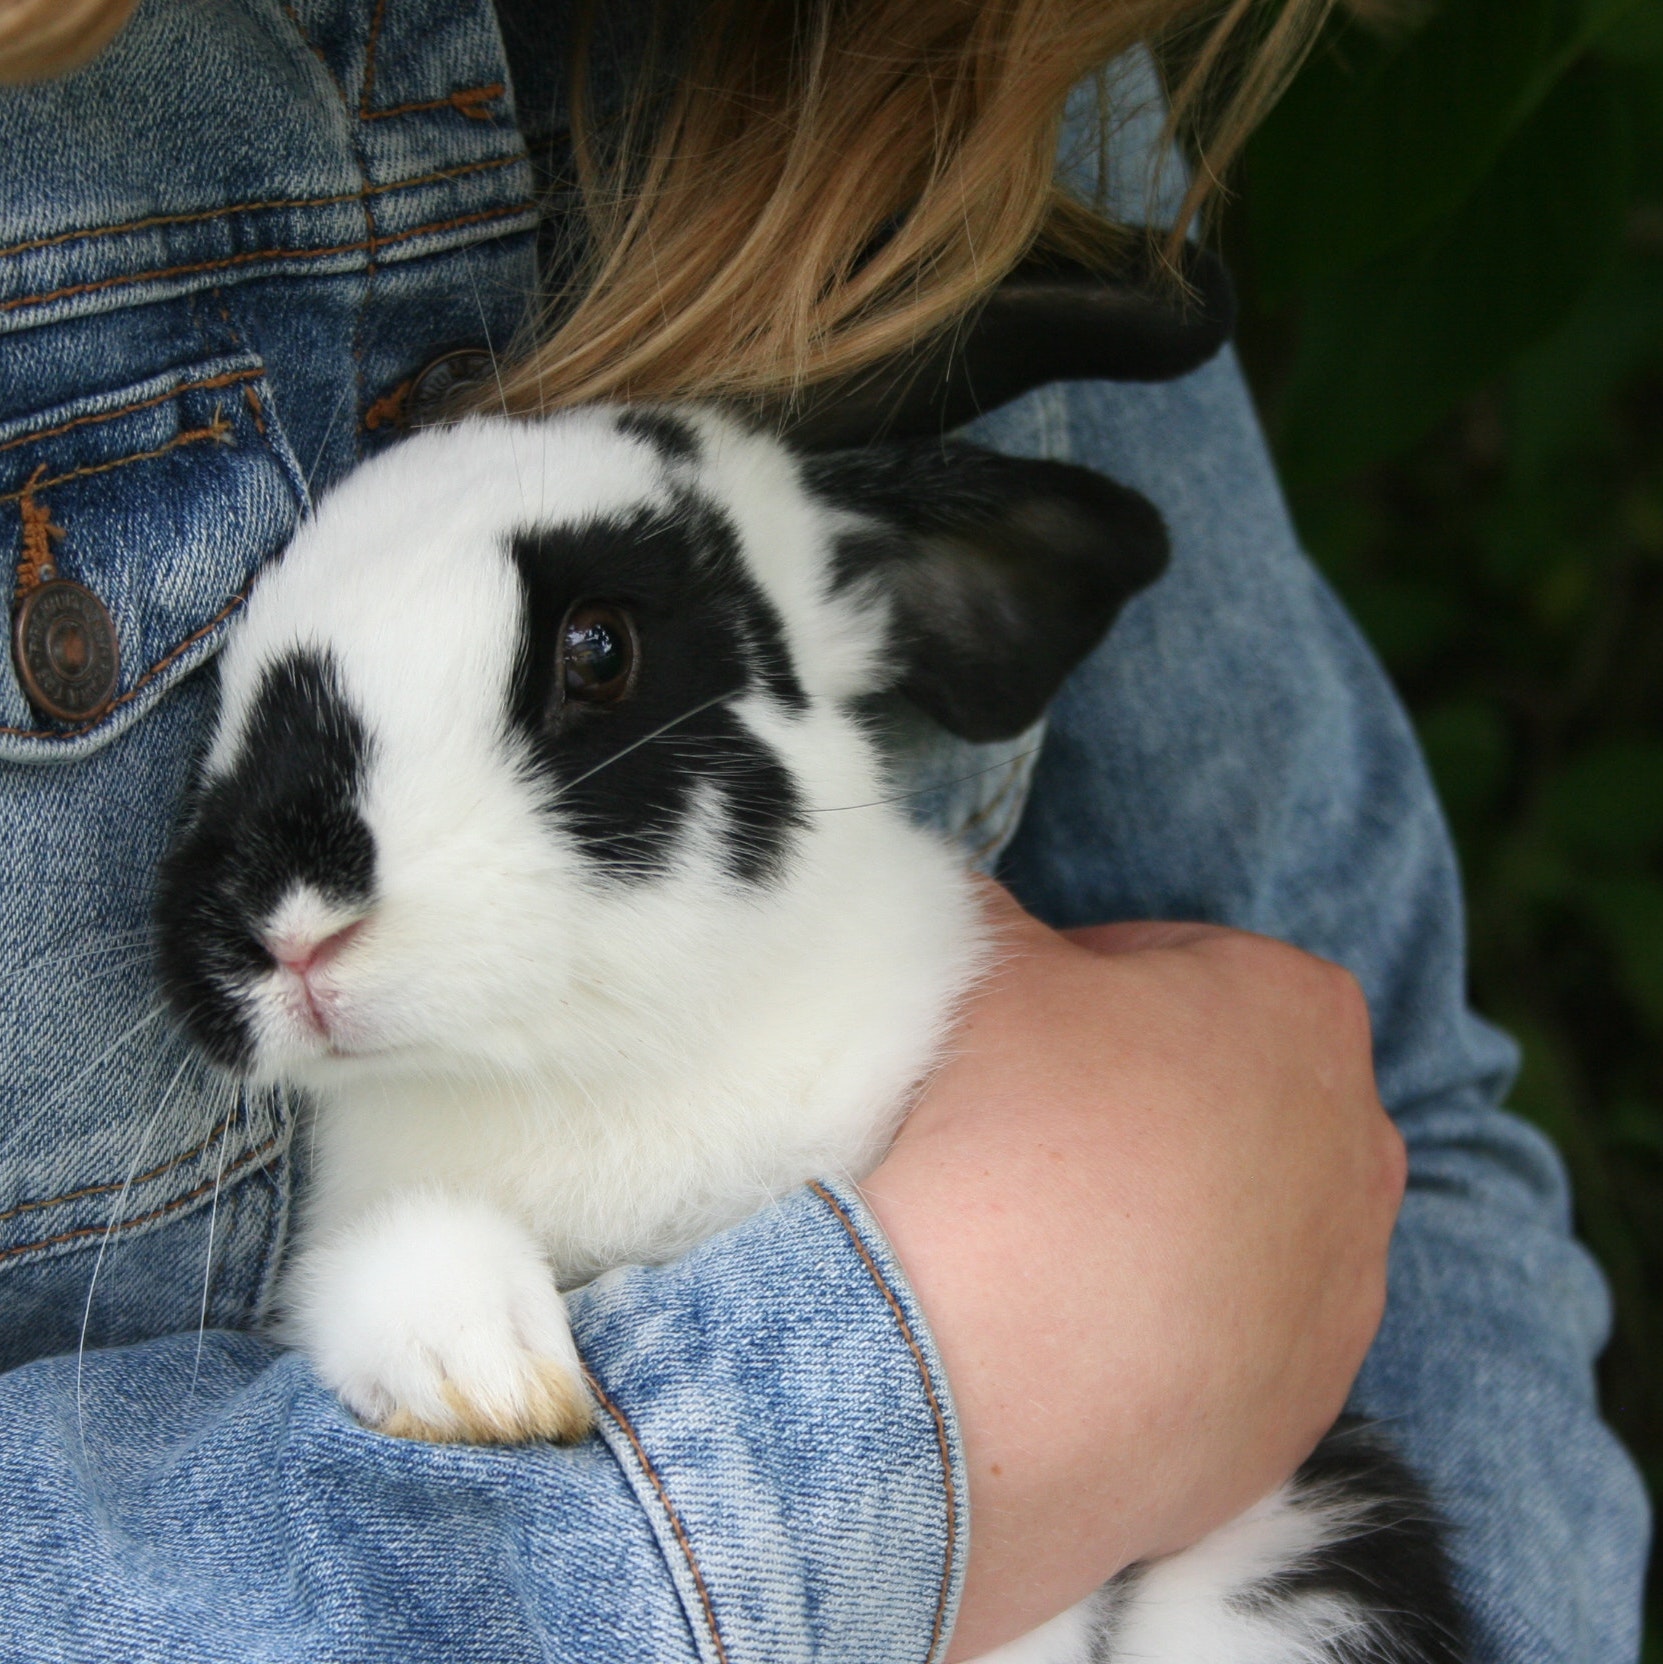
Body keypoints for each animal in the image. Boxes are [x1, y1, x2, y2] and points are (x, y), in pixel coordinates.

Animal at [153, 406, 1458, 1664]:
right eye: (230, 687)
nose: (287, 923)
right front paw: (489, 1377)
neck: (590, 1067)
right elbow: (393, 1264)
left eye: (598, 648)